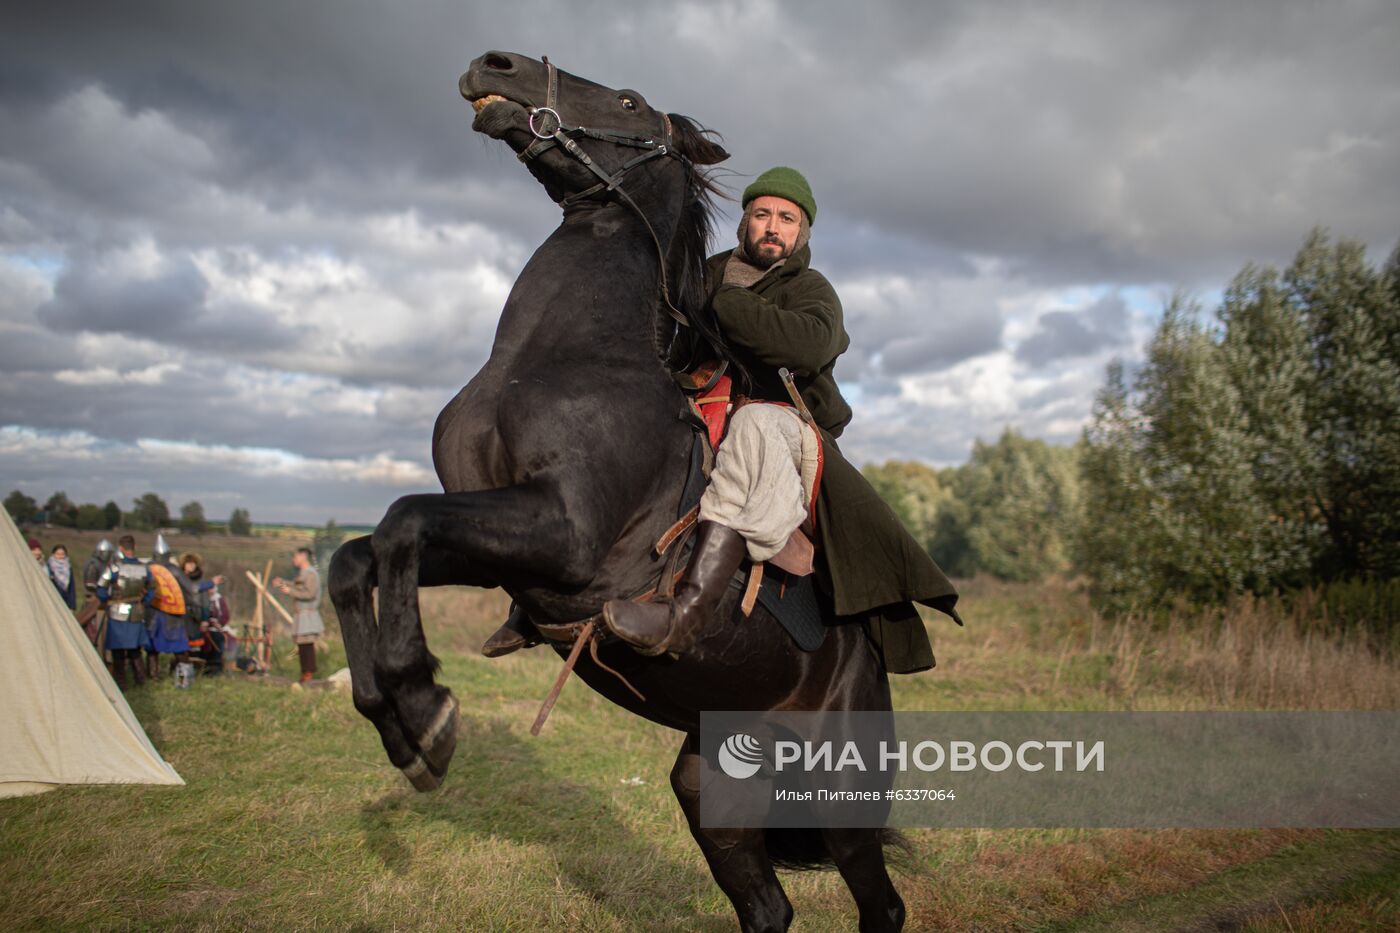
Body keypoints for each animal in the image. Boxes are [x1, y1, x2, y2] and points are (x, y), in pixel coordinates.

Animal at [334, 52, 912, 930]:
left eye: (631, 101)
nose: (493, 65)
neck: (566, 351)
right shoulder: (502, 547)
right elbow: (354, 558)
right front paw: (395, 722)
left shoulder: (565, 535)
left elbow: (401, 523)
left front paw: (425, 707)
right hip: (711, 789)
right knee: (768, 907)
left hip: (840, 802)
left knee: (880, 904)